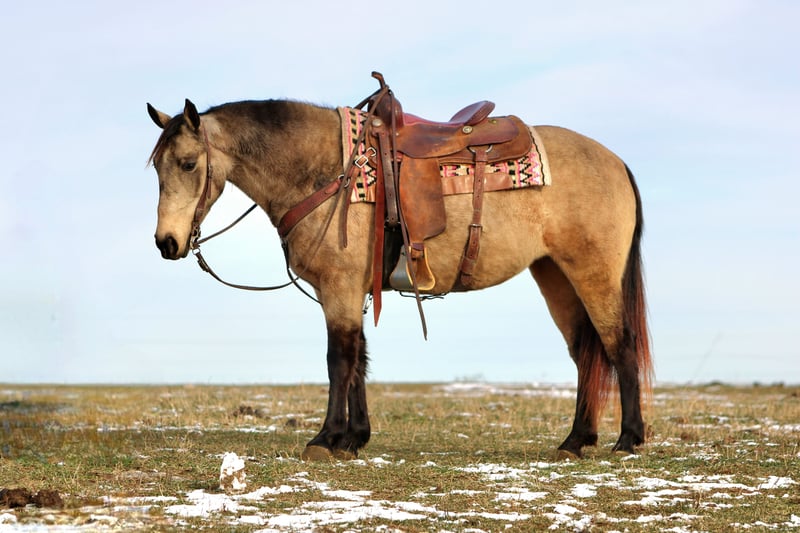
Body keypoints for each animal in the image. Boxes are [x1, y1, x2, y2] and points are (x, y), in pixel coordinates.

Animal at [146, 85, 653, 461]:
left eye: (188, 163)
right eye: (157, 168)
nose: (166, 242)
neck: (328, 173)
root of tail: (616, 162)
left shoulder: (340, 289)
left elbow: (339, 360)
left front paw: (325, 439)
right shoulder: (351, 291)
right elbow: (360, 360)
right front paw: (353, 438)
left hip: (593, 274)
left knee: (618, 344)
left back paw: (628, 438)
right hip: (555, 276)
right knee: (586, 353)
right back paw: (576, 440)